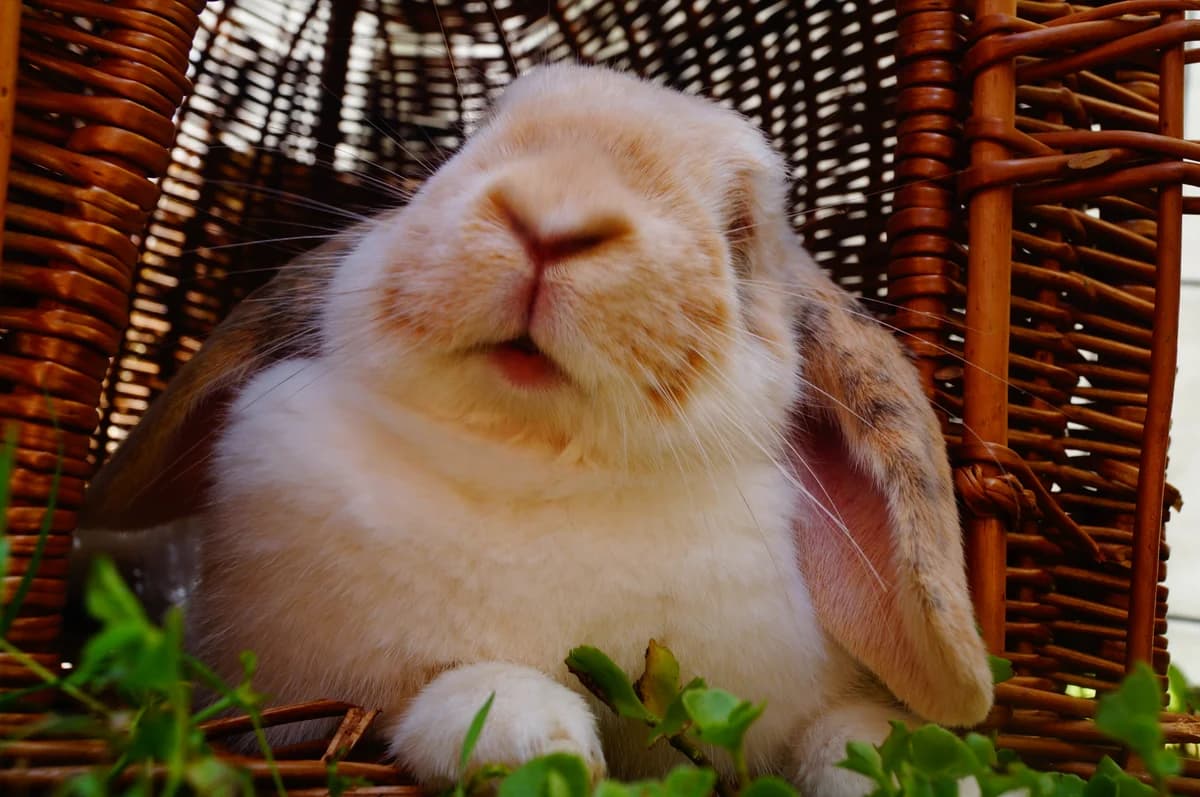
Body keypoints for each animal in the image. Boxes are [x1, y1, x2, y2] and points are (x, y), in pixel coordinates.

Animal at [78, 63, 994, 796]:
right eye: (468, 142)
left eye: (739, 227)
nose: (553, 215)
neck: (534, 461)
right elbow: (438, 699)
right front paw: (536, 741)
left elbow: (850, 731)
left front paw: (925, 769)